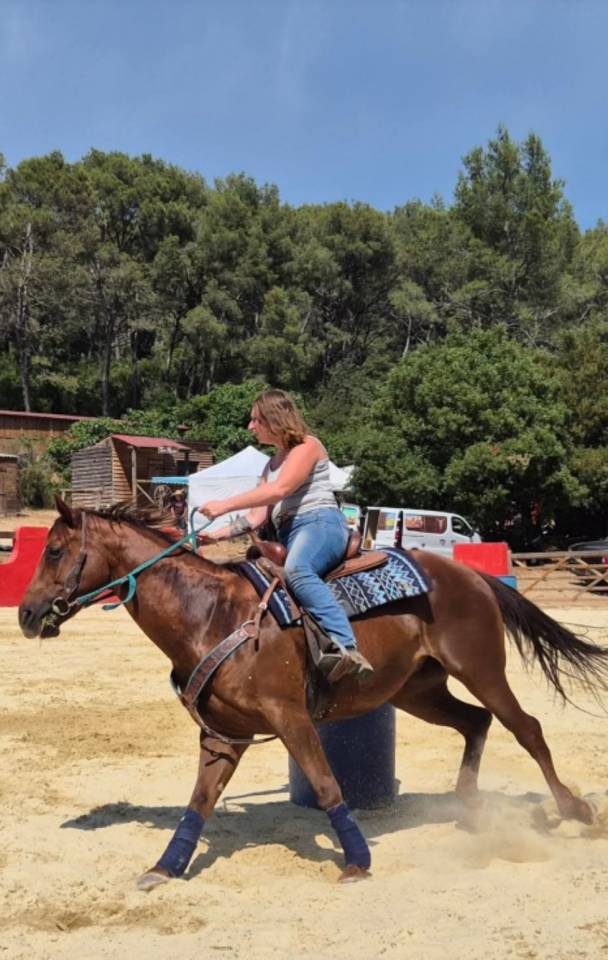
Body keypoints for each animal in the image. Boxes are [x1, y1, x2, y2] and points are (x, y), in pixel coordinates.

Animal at [18, 499, 608, 891]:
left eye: (55, 551)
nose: (25, 614)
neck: (211, 615)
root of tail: (472, 575)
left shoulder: (291, 720)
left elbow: (326, 787)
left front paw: (357, 859)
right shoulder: (223, 735)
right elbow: (199, 802)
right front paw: (165, 866)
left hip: (482, 669)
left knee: (525, 728)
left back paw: (574, 808)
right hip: (418, 690)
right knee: (476, 723)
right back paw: (469, 806)